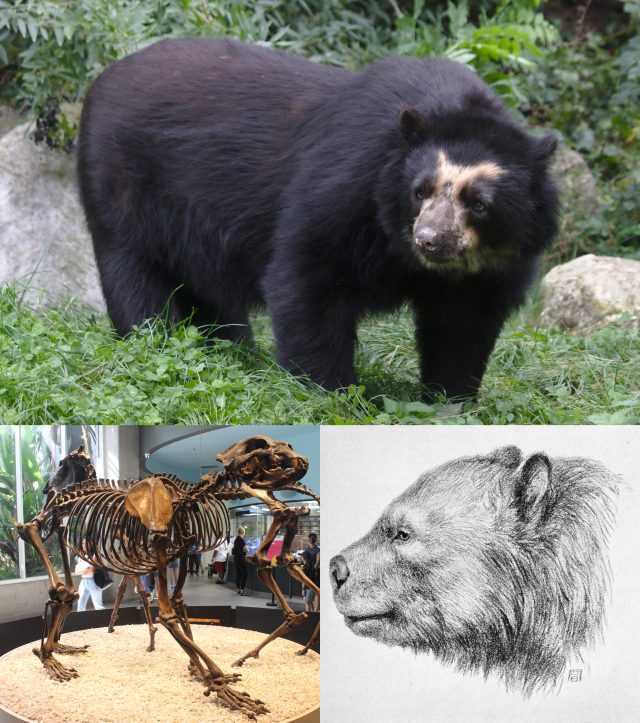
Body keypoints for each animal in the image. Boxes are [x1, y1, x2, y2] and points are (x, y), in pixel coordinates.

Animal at [76, 37, 559, 400]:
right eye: (419, 191)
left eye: (477, 203)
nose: (429, 239)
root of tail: (102, 78)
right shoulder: (348, 185)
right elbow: (308, 274)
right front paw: (331, 392)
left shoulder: (493, 264)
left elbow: (464, 324)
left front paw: (451, 399)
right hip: (121, 185)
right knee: (135, 274)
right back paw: (154, 341)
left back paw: (234, 349)